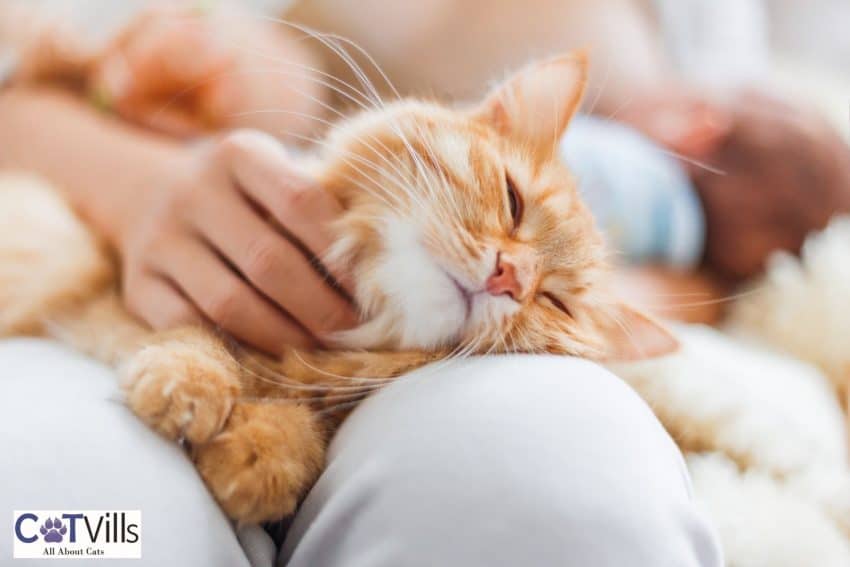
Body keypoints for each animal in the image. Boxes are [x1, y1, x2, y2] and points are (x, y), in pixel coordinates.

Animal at [0, 51, 676, 524]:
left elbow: (300, 424)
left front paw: (263, 457)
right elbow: (194, 332)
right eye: (513, 202)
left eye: (554, 302)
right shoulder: (108, 278)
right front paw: (190, 387)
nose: (512, 278)